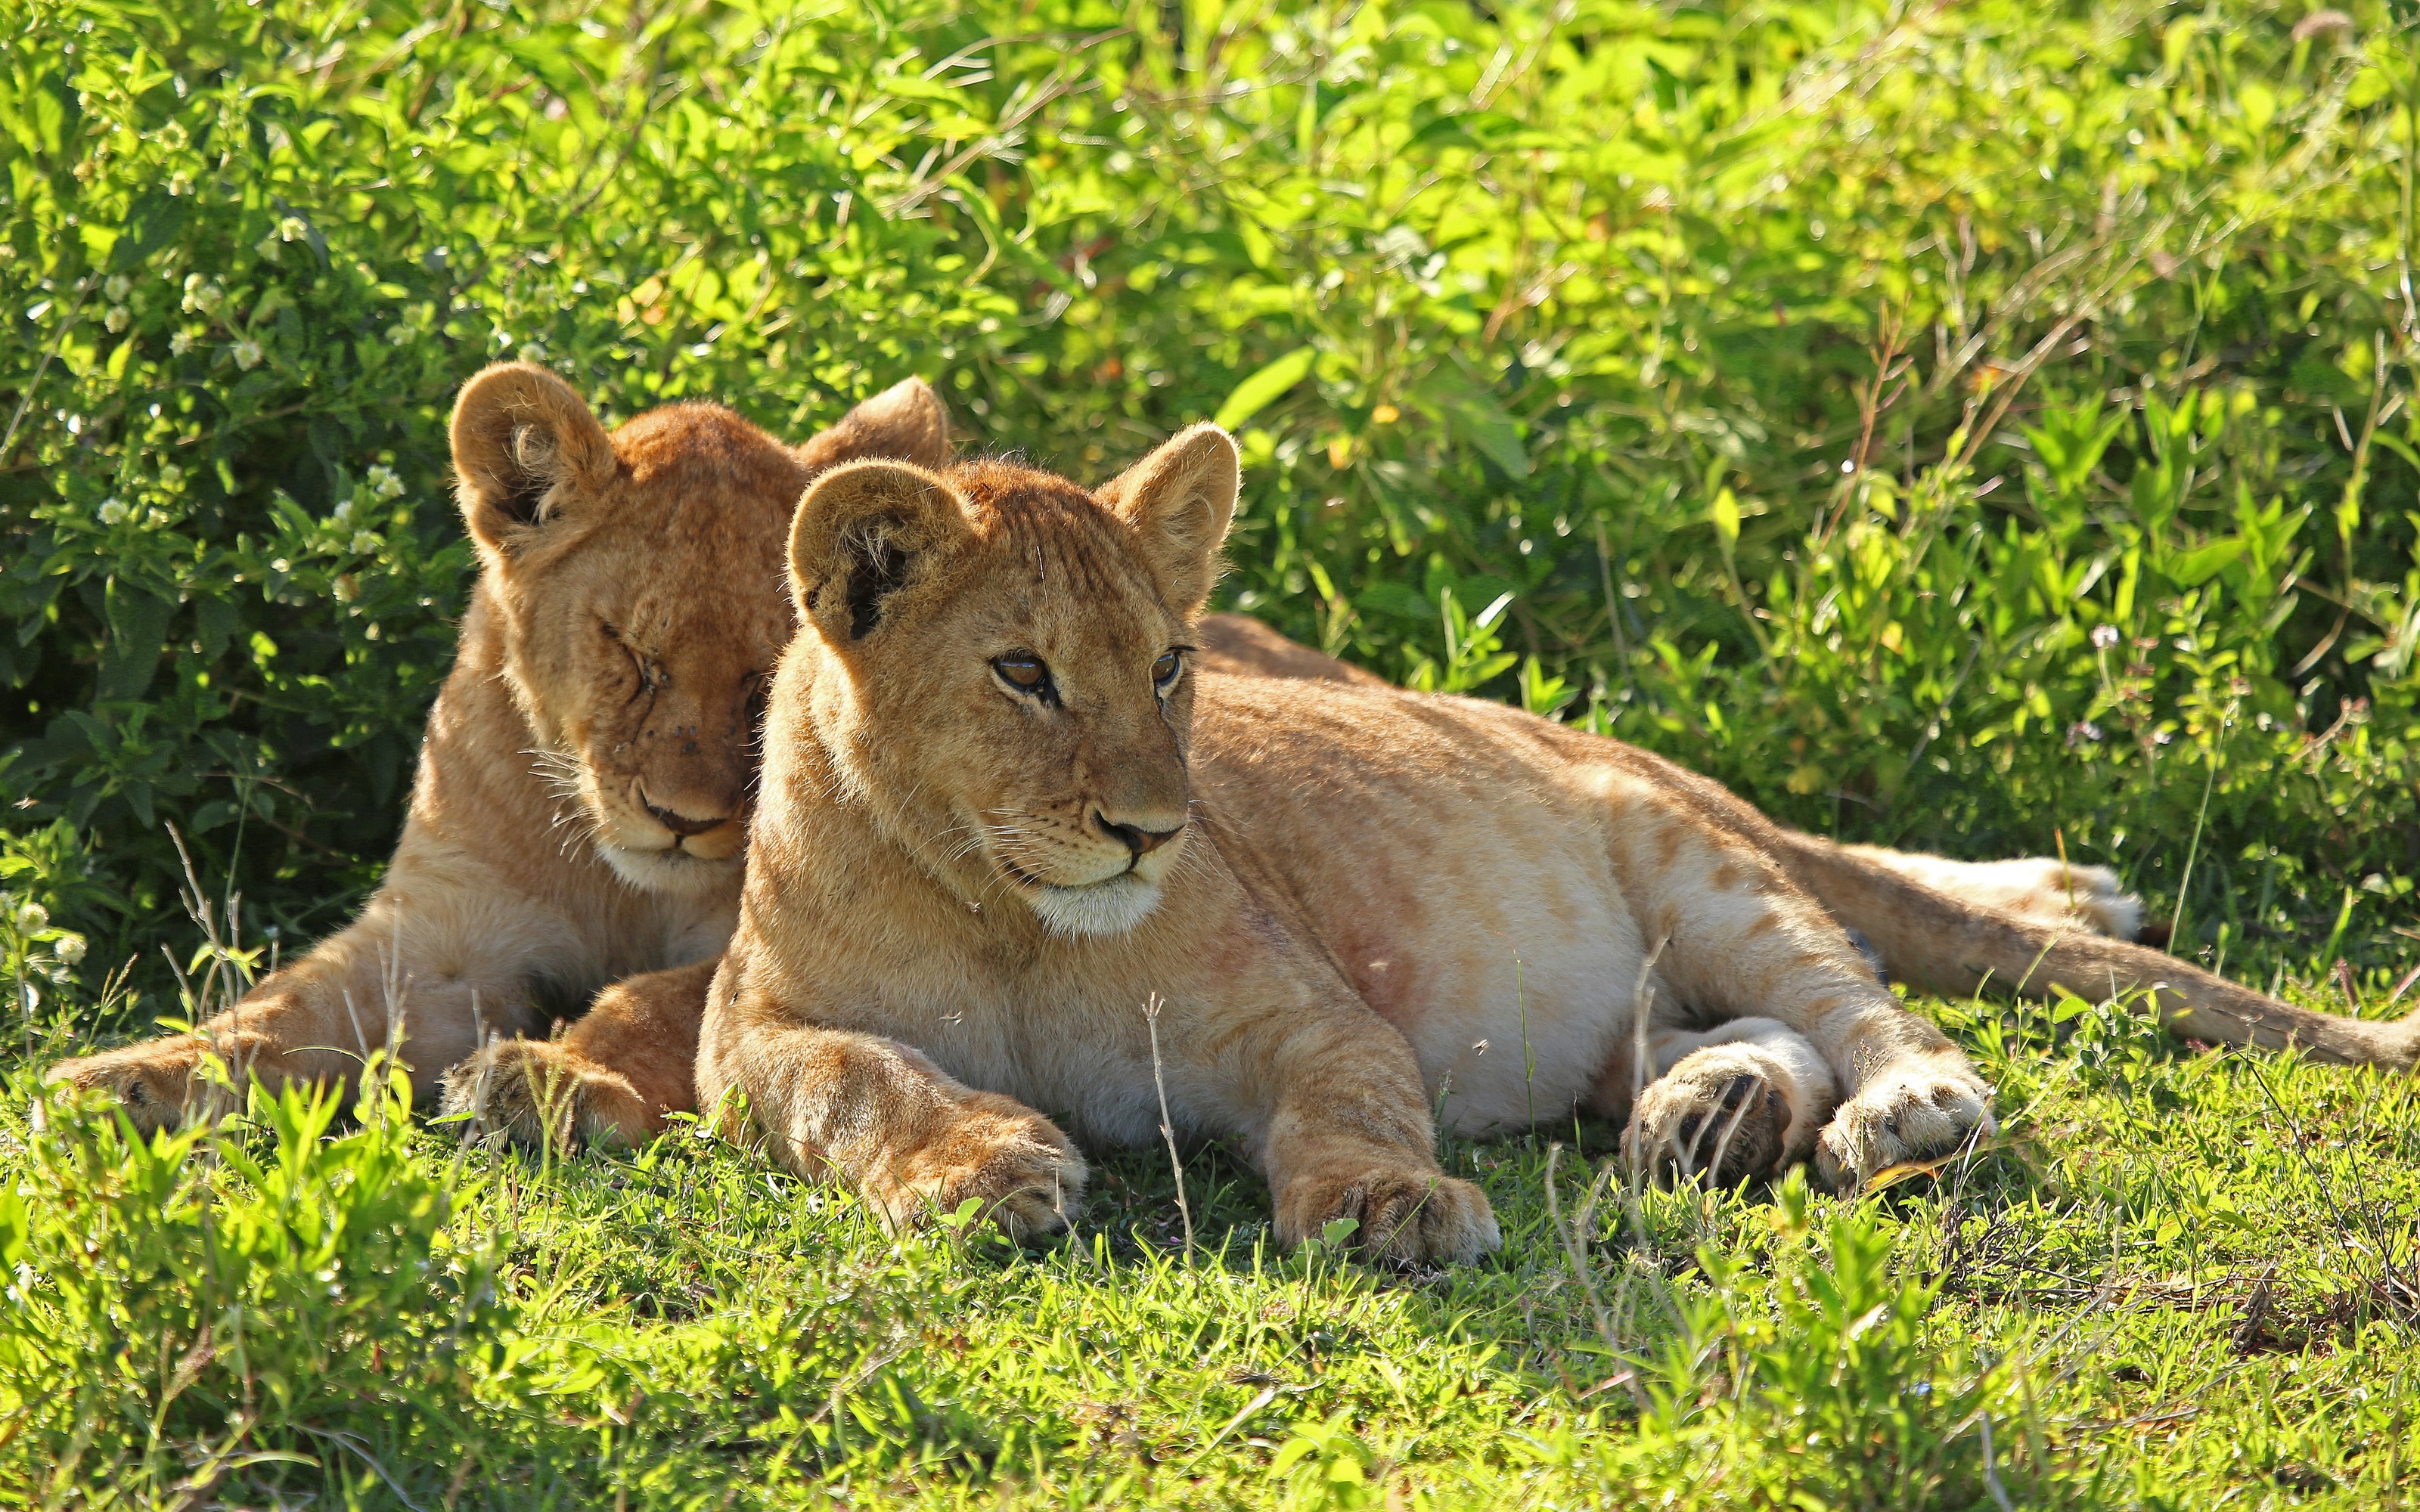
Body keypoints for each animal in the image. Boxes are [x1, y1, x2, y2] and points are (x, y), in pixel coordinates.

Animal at [697, 426, 2419, 1262]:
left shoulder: (1312, 1012)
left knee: (1858, 984)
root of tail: (1611, 746)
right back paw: (1711, 1113)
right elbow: (857, 1081)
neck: (1004, 910)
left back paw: (1905, 1099)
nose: (1151, 829)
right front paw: (976, 1166)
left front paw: (1394, 1207)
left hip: (1691, 860)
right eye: (1024, 673)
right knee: (1732, 1023)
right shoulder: (744, 1028)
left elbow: (1358, 1098)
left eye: (1171, 667)